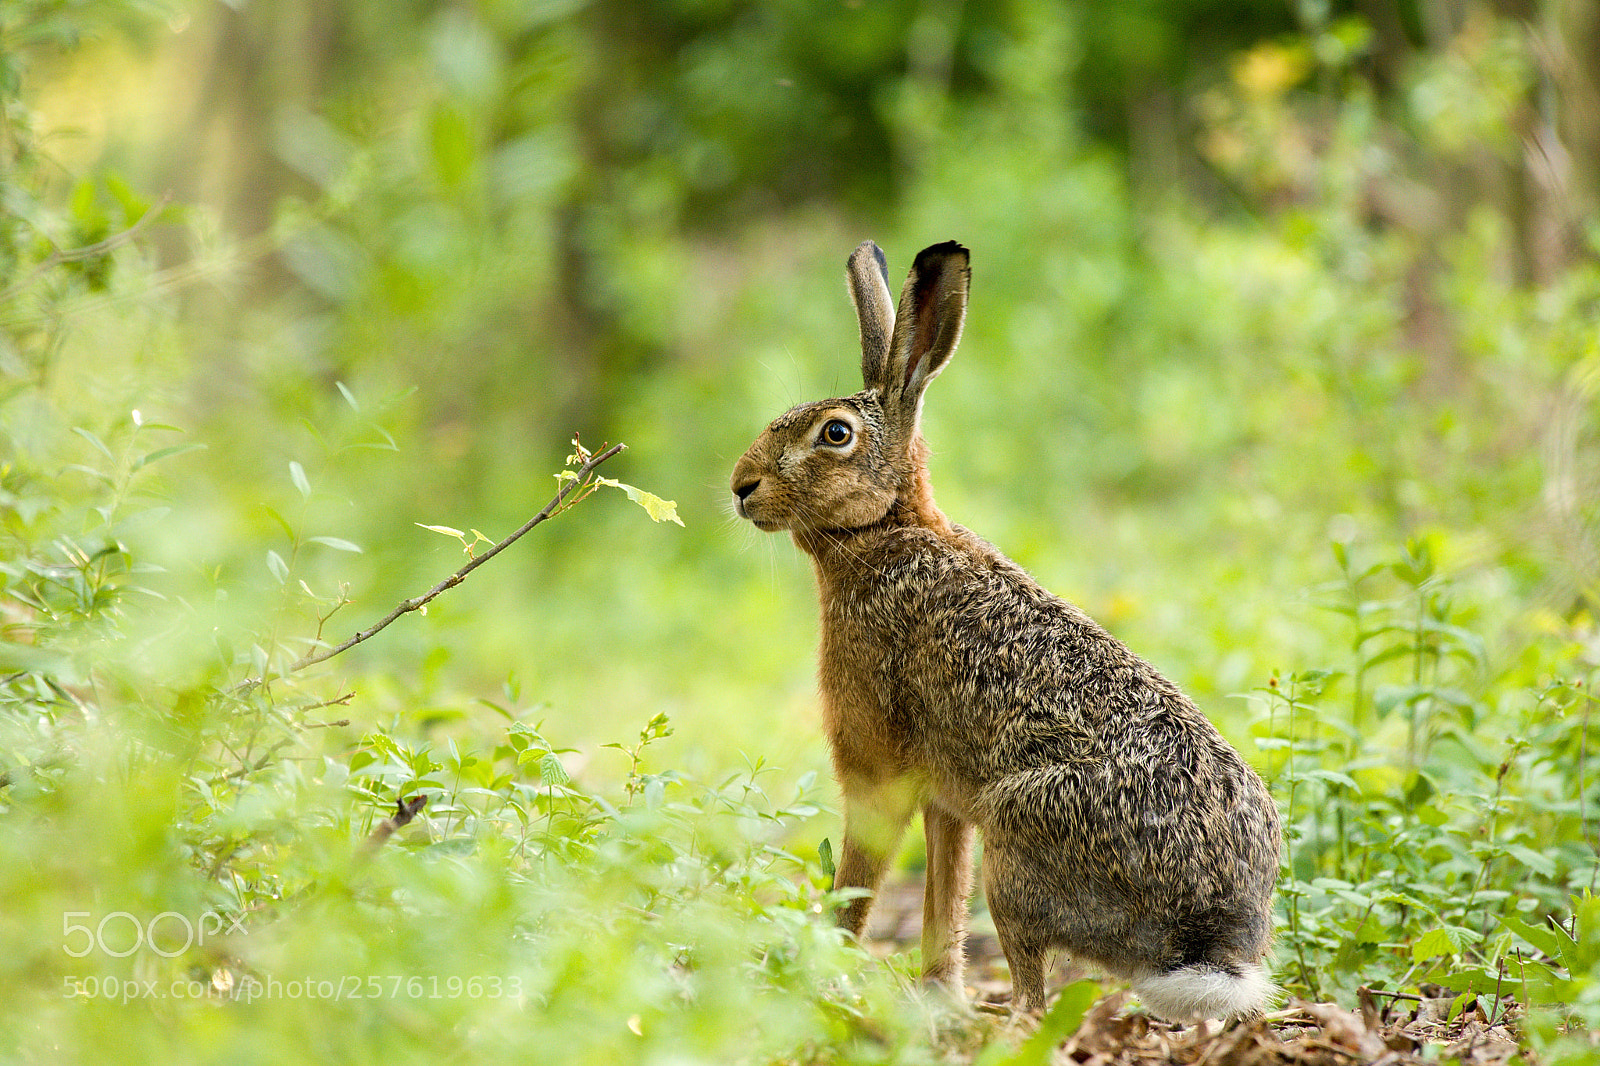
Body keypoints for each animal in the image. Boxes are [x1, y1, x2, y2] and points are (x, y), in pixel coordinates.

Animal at [728, 239, 1282, 1022]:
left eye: (834, 434)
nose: (740, 486)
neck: (884, 531)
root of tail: (1207, 938)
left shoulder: (878, 770)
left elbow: (859, 882)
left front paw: (816, 970)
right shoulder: (945, 800)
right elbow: (942, 901)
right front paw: (937, 997)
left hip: (1017, 844)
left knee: (1032, 997)